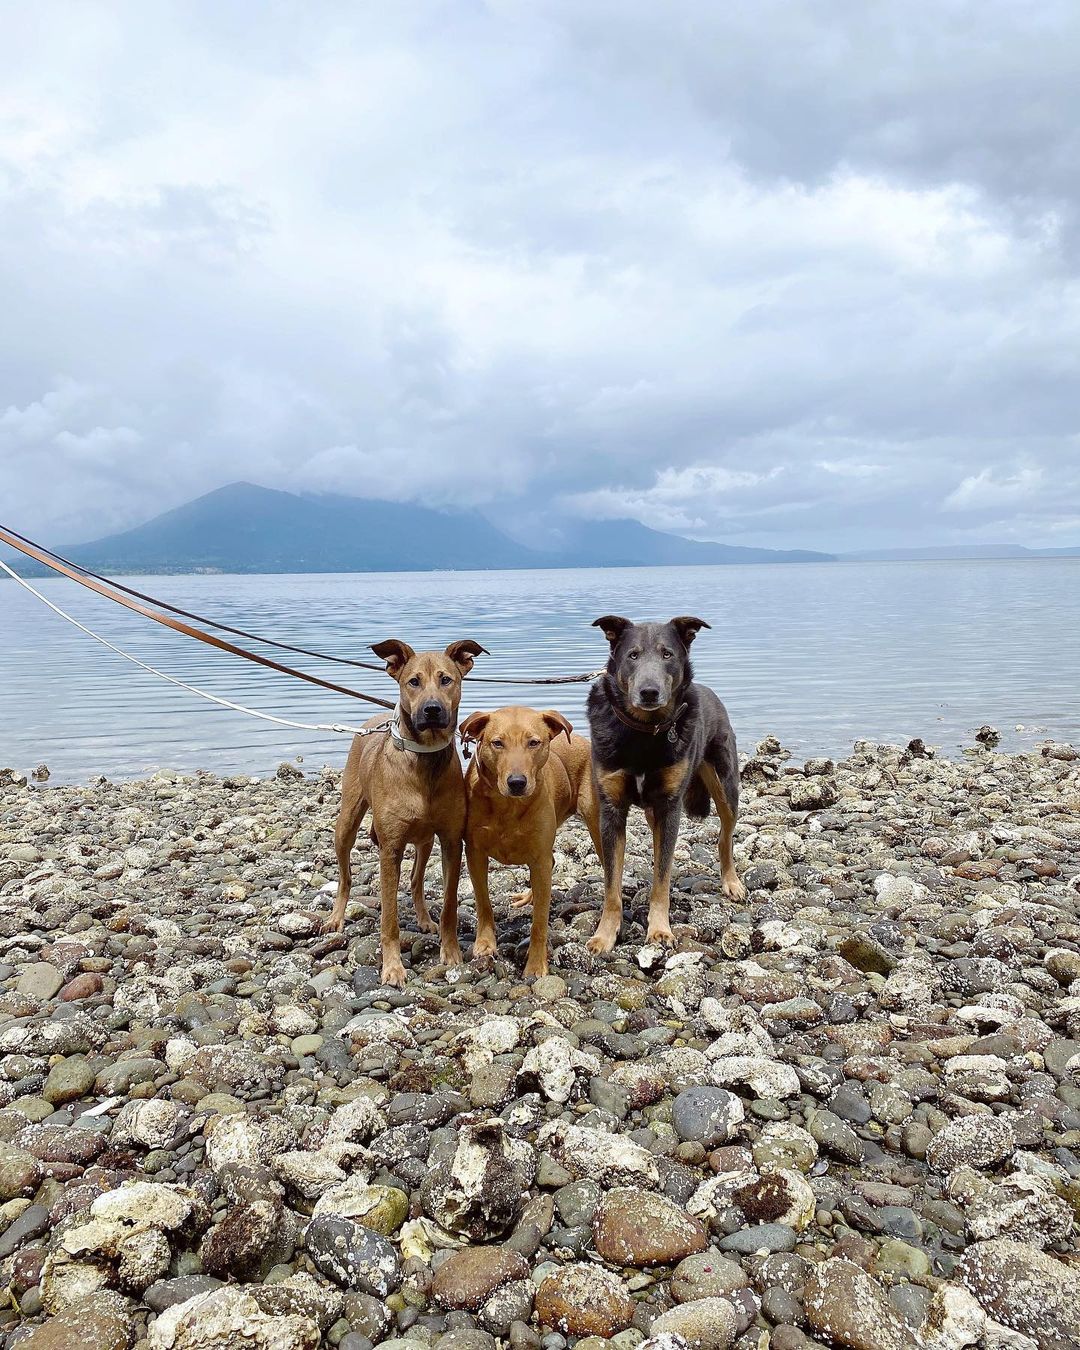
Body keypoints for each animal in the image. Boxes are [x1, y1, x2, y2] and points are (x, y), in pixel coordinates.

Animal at [325, 637, 486, 988]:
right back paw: (335, 918)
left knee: (414, 880)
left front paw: (450, 952)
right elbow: (389, 919)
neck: (424, 759)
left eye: (446, 679)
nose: (432, 709)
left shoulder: (452, 841)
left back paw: (424, 919)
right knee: (345, 877)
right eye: (413, 681)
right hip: (347, 822)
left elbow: (450, 905)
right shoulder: (391, 849)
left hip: (425, 840)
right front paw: (393, 967)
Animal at [459, 702, 602, 977]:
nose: (517, 782)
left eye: (534, 742)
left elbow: (539, 923)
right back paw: (529, 896)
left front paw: (536, 964)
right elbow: (483, 902)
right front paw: (485, 943)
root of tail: (581, 739)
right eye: (497, 743)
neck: (507, 805)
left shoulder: (539, 856)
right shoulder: (475, 852)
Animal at [583, 618, 745, 955]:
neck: (645, 730)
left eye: (667, 654)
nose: (649, 692)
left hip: (726, 787)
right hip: (652, 811)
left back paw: (731, 882)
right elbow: (611, 884)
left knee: (724, 837)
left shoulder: (670, 808)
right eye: (632, 655)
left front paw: (659, 929)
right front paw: (605, 934)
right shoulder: (611, 810)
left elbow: (662, 877)